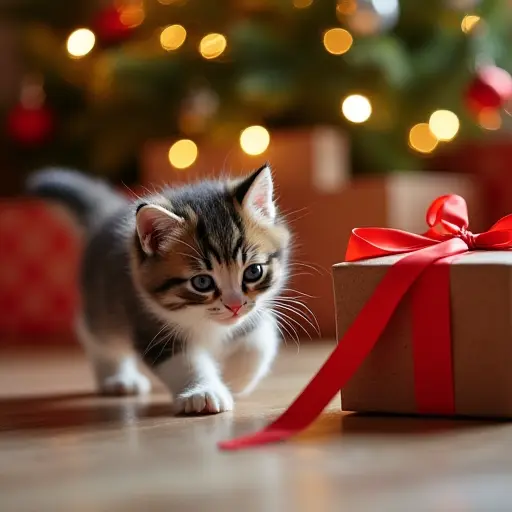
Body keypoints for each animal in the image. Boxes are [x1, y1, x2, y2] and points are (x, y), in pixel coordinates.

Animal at [28, 166, 290, 414]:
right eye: (202, 283)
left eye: (253, 271)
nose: (234, 305)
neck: (205, 322)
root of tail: (109, 213)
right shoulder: (149, 323)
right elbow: (183, 362)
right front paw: (204, 392)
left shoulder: (255, 312)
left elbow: (258, 343)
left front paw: (235, 379)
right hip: (103, 302)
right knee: (97, 335)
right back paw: (118, 378)